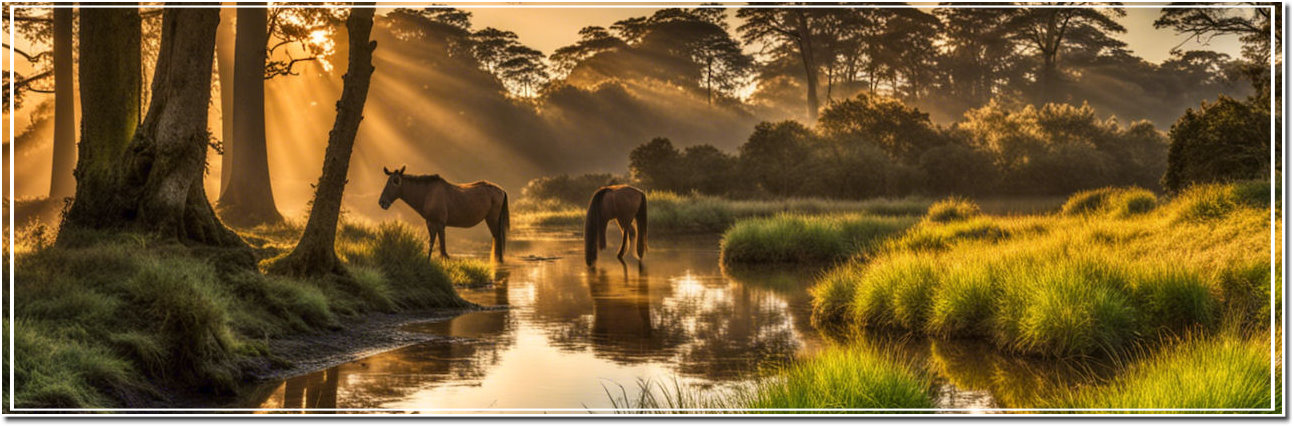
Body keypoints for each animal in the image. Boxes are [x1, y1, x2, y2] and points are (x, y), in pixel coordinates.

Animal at [377, 165, 507, 258]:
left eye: (395, 181)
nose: (382, 202)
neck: (425, 196)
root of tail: (502, 191)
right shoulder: (430, 223)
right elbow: (431, 246)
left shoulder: (440, 223)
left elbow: (443, 250)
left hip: (492, 219)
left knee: (498, 239)